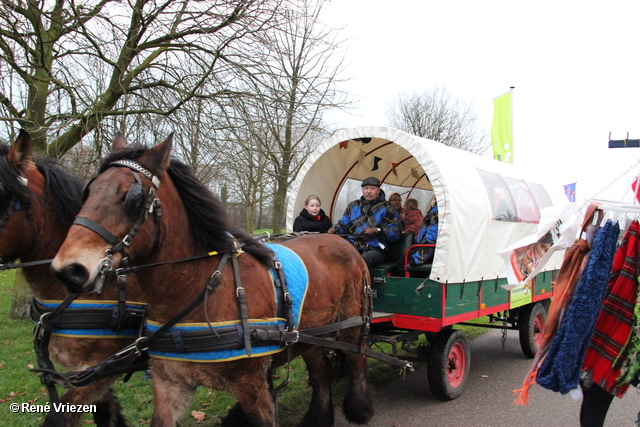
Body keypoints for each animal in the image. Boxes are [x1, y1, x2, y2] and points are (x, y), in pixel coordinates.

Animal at [51, 135, 376, 427]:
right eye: (89, 191)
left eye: (132, 197)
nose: (69, 269)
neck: (197, 285)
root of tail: (344, 241)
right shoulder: (170, 381)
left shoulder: (251, 384)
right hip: (313, 334)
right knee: (321, 373)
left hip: (352, 324)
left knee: (358, 361)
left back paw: (359, 409)